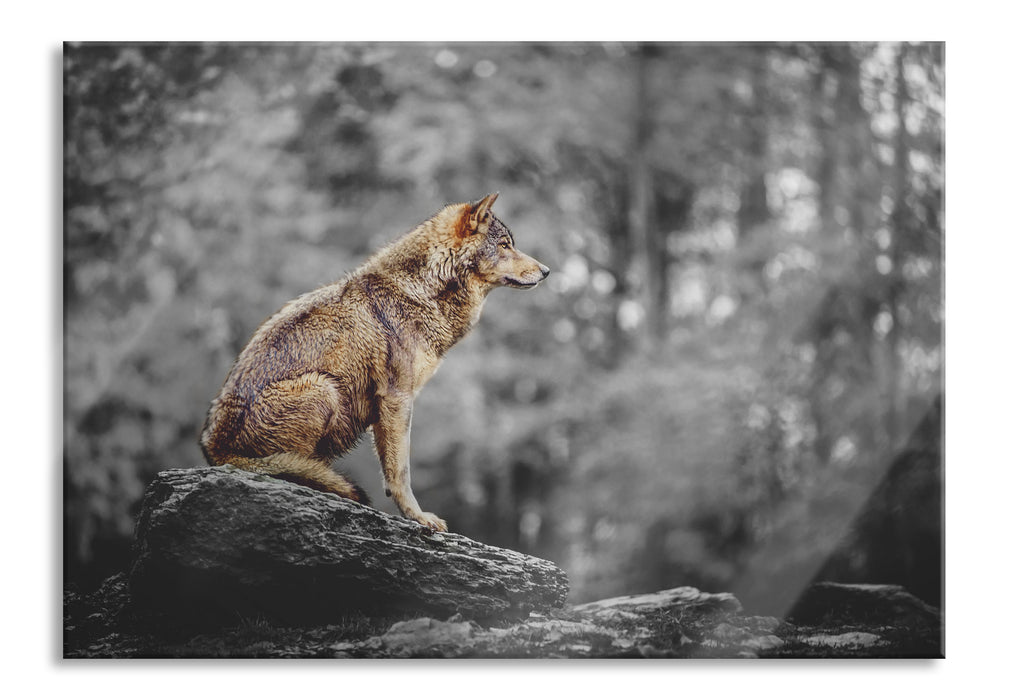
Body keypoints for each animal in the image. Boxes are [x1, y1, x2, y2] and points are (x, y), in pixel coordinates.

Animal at [200, 191, 548, 532]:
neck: (421, 292)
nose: (546, 271)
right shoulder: (397, 398)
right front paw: (419, 517)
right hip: (323, 388)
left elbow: (392, 469)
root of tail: (214, 449)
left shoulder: (387, 407)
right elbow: (400, 472)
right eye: (505, 245)